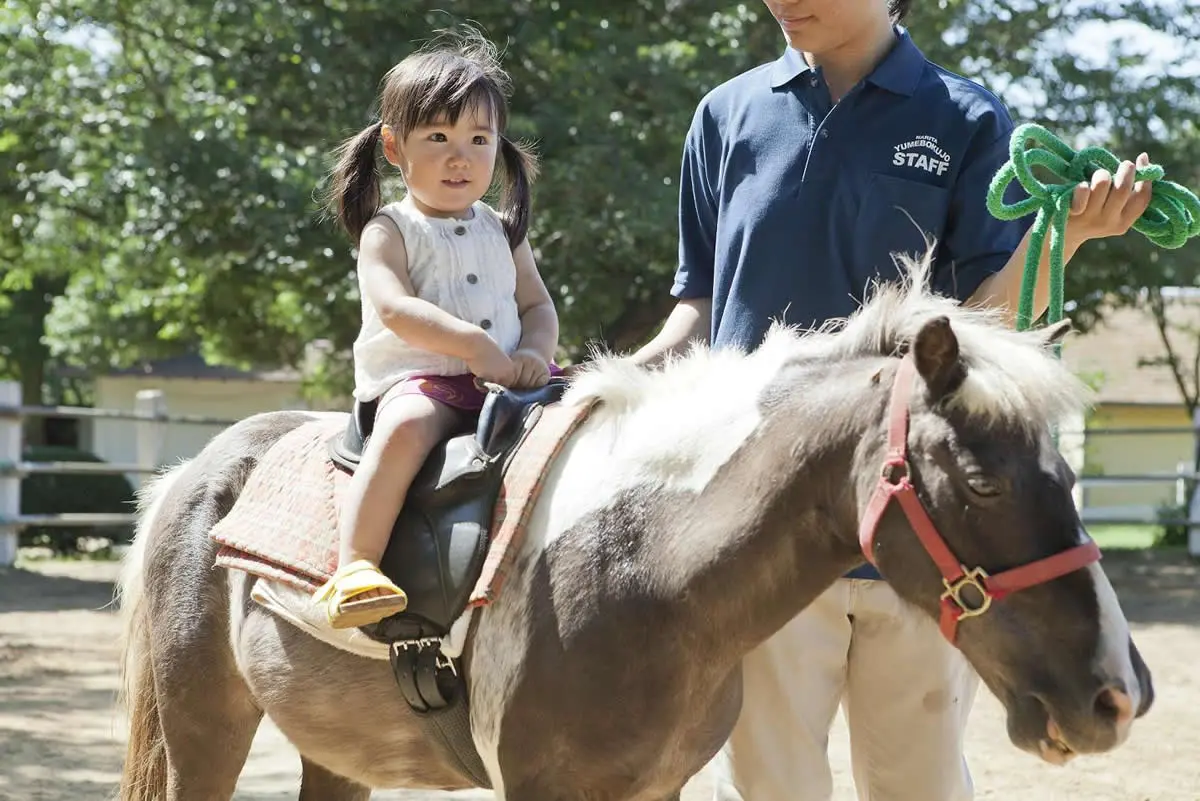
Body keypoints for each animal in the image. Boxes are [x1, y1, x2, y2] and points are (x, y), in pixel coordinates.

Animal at [115, 257, 1152, 801]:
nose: (1116, 695)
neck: (641, 571)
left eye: (1068, 474)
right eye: (980, 481)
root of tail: (194, 478)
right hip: (205, 730)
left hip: (332, 753)